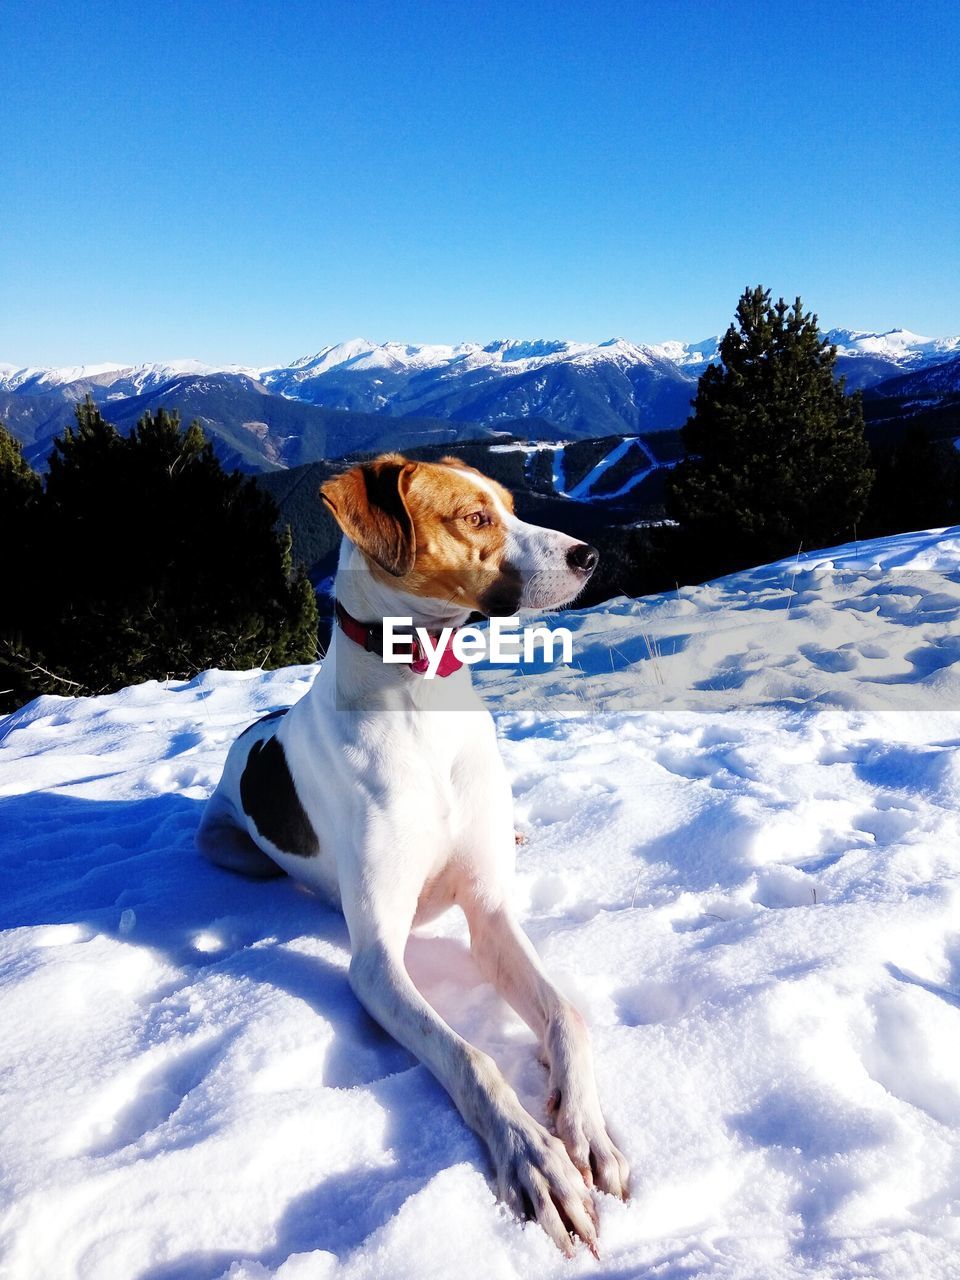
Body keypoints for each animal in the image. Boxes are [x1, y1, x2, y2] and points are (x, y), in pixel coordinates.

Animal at [197, 455, 632, 1254]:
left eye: (510, 505)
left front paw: (586, 1129)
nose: (587, 556)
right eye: (475, 518)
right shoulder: (376, 965)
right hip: (221, 845)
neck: (424, 705)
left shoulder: (490, 913)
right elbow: (471, 1056)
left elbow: (566, 1015)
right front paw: (534, 1159)